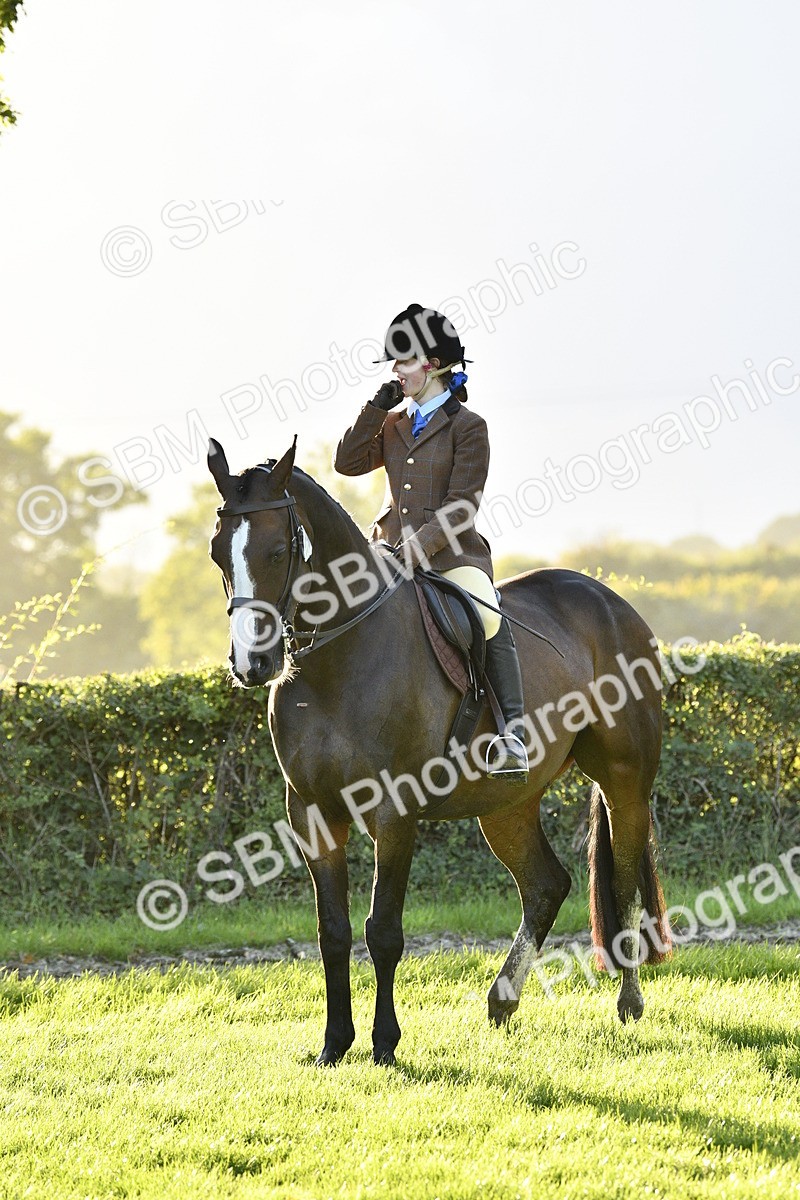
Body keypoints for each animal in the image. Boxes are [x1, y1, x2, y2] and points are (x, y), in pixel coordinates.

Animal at [207, 436, 671, 1066]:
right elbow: (334, 932)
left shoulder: (393, 811)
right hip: (506, 805)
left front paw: (383, 1043)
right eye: (217, 554)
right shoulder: (312, 814)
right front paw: (334, 1045)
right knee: (546, 885)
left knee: (622, 879)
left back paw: (628, 1001)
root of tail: (608, 599)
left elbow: (383, 931)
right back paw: (502, 1001)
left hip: (624, 781)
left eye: (278, 550)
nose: (253, 664)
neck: (337, 660)